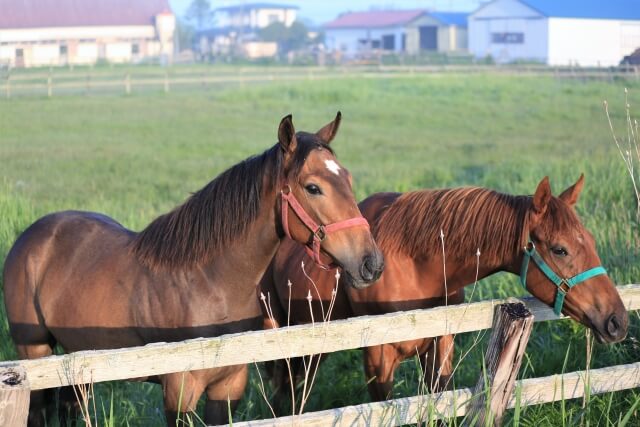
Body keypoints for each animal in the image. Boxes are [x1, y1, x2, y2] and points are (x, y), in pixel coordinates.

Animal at [3, 112, 384, 426]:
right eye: (313, 187)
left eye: (348, 178)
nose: (372, 263)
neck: (208, 283)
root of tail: (32, 237)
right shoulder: (179, 389)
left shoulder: (228, 386)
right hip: (34, 353)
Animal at [262, 176, 628, 408]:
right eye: (559, 249)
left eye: (590, 241)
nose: (618, 321)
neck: (413, 263)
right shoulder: (378, 358)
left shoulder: (440, 347)